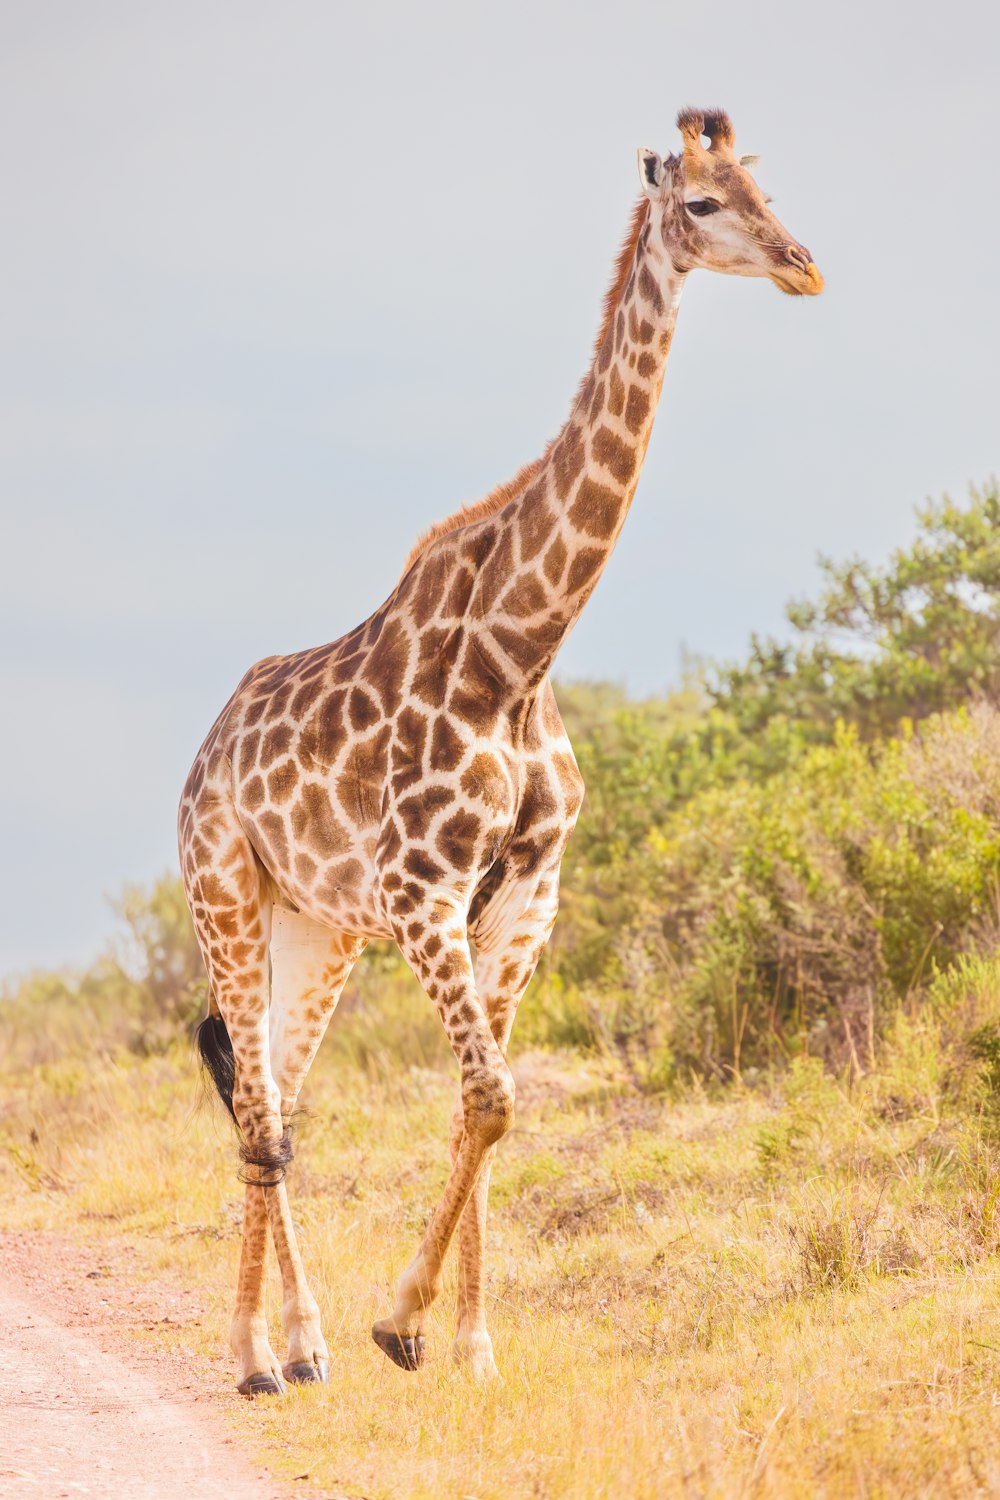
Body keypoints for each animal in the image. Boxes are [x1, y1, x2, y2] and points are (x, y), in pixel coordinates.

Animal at [177, 108, 821, 1392]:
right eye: (703, 203)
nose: (802, 264)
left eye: (763, 186)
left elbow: (483, 1105)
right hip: (225, 893)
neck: (516, 652)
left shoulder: (526, 890)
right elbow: (490, 1095)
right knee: (261, 1113)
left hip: (317, 927)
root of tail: (204, 752)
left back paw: (303, 1342)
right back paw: (256, 1356)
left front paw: (464, 1342)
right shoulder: (424, 891)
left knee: (282, 1098)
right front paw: (402, 1321)